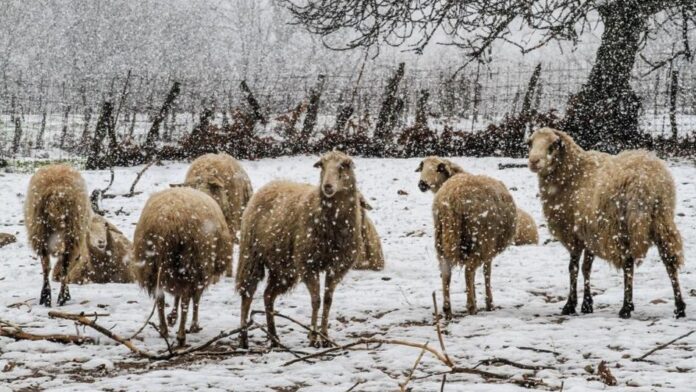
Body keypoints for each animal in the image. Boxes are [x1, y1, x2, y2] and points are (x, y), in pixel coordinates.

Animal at [24, 164, 90, 308]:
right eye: (79, 258)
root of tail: (57, 192)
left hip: (40, 232)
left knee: (46, 267)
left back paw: (46, 297)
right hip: (72, 234)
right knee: (63, 266)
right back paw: (61, 298)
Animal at [133, 188, 234, 344]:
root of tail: (167, 222)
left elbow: (177, 295)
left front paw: (172, 317)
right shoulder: (202, 273)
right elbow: (195, 299)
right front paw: (193, 325)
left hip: (152, 266)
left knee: (160, 299)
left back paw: (164, 329)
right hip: (192, 263)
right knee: (186, 301)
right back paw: (181, 335)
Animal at [237, 151, 362, 350]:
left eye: (344, 165)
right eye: (322, 165)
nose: (327, 186)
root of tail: (269, 184)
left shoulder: (336, 267)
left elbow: (328, 300)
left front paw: (325, 337)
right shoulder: (308, 263)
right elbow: (316, 300)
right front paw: (313, 337)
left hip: (282, 267)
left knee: (268, 295)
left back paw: (274, 337)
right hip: (252, 255)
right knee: (247, 294)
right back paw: (243, 338)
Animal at [414, 155, 516, 316]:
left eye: (438, 168)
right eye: (422, 168)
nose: (422, 184)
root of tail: (450, 200)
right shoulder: (490, 245)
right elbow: (487, 272)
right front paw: (489, 303)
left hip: (441, 237)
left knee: (446, 272)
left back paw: (447, 308)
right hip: (481, 238)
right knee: (469, 270)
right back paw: (471, 306)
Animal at [528, 129, 684, 318]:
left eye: (552, 145)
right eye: (530, 143)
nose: (533, 161)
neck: (574, 173)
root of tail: (648, 182)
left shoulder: (575, 233)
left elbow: (573, 267)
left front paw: (570, 305)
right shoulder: (589, 232)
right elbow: (586, 267)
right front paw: (587, 304)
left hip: (624, 225)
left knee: (628, 264)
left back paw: (626, 307)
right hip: (662, 220)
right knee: (670, 260)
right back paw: (679, 307)